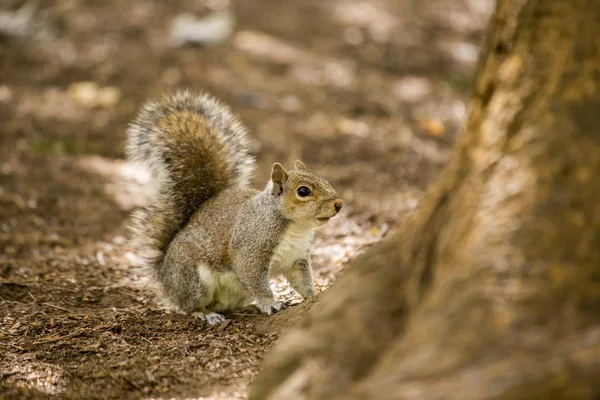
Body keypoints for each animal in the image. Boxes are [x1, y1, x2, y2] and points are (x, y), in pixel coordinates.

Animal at [125, 90, 342, 324]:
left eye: (325, 180)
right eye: (303, 191)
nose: (339, 204)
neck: (296, 227)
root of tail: (164, 275)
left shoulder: (297, 257)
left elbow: (302, 280)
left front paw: (314, 295)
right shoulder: (251, 247)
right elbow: (252, 276)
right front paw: (270, 302)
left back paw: (246, 309)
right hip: (194, 279)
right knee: (190, 305)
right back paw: (207, 315)